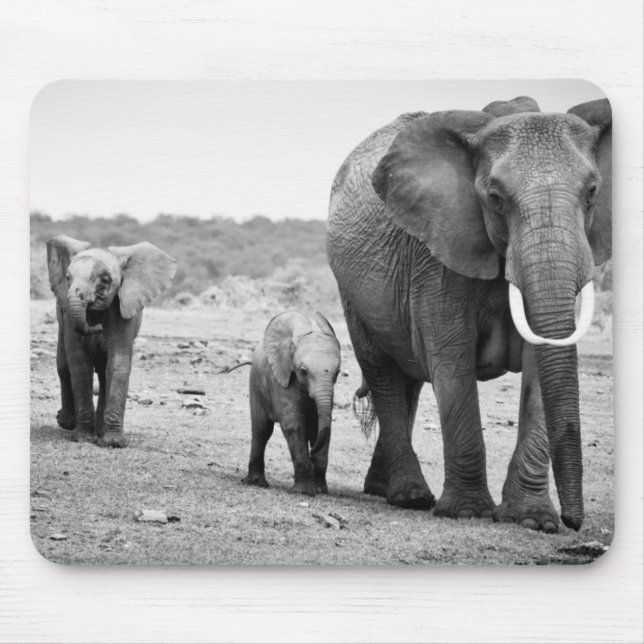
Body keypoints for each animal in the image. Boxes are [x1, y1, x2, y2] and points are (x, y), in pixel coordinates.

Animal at [47, 235, 177, 447]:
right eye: (67, 278)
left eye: (106, 280)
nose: (97, 327)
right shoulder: (67, 316)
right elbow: (79, 365)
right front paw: (83, 438)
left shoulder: (123, 310)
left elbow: (117, 363)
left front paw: (113, 443)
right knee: (63, 366)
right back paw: (67, 422)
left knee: (103, 373)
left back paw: (99, 432)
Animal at [241, 310, 341, 496]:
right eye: (303, 371)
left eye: (337, 373)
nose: (312, 451)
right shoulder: (280, 377)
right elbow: (294, 425)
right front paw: (303, 492)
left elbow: (321, 427)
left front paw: (320, 490)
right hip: (256, 382)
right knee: (262, 429)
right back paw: (256, 483)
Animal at [327, 96, 611, 532]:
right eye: (495, 197)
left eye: (592, 192)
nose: (574, 522)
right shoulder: (437, 257)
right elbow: (452, 359)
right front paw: (466, 512)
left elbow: (540, 366)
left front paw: (532, 521)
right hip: (351, 290)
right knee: (383, 372)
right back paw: (410, 497)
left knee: (408, 379)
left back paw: (382, 489)